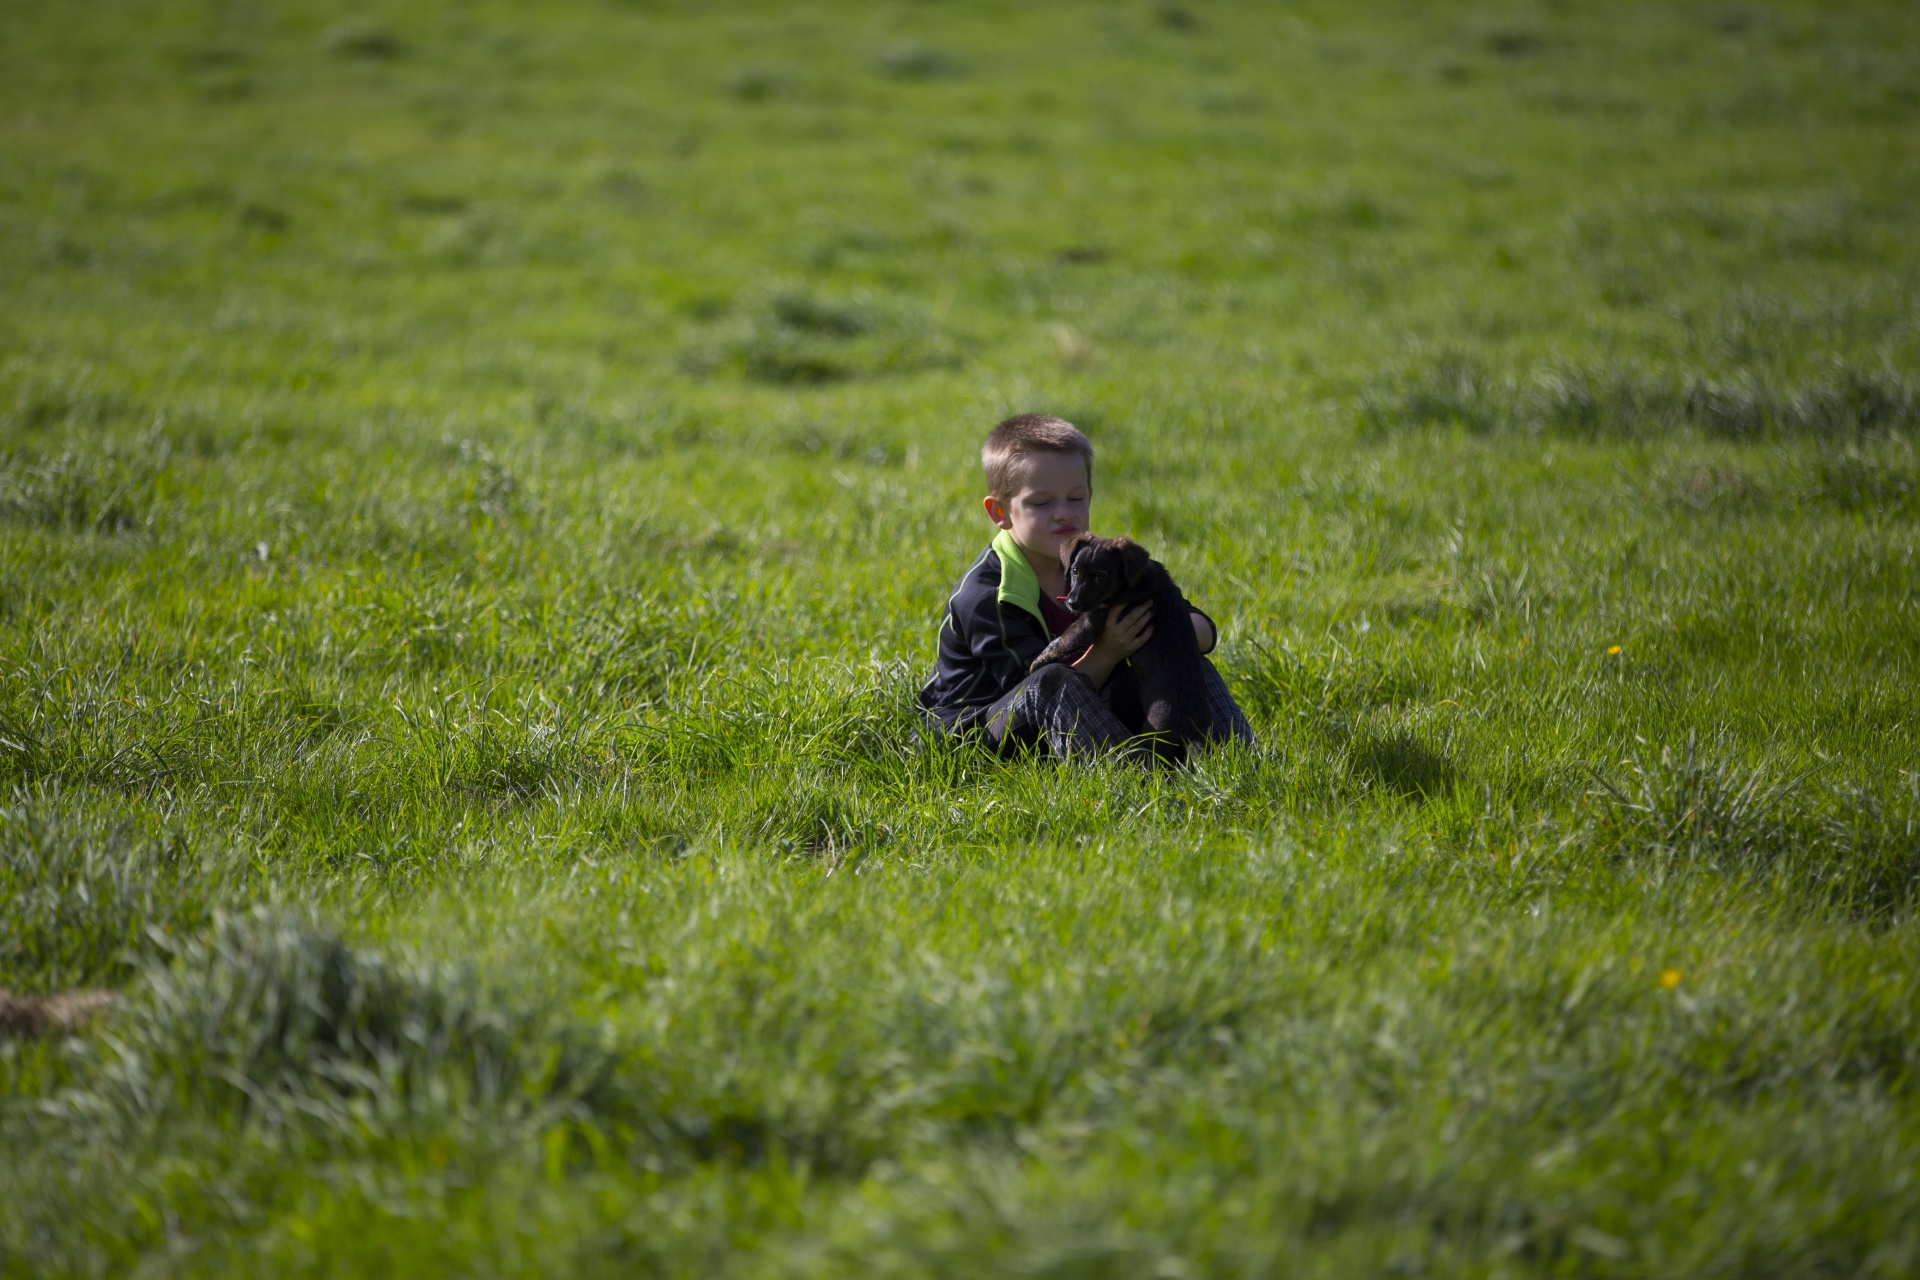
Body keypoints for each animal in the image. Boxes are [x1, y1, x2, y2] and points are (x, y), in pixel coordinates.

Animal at [1036, 533, 1213, 759]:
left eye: (1100, 576)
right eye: (1075, 570)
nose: (1072, 603)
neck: (1134, 578)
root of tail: (1191, 732)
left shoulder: (1091, 621)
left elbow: (1061, 641)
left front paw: (1036, 663)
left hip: (1155, 739)